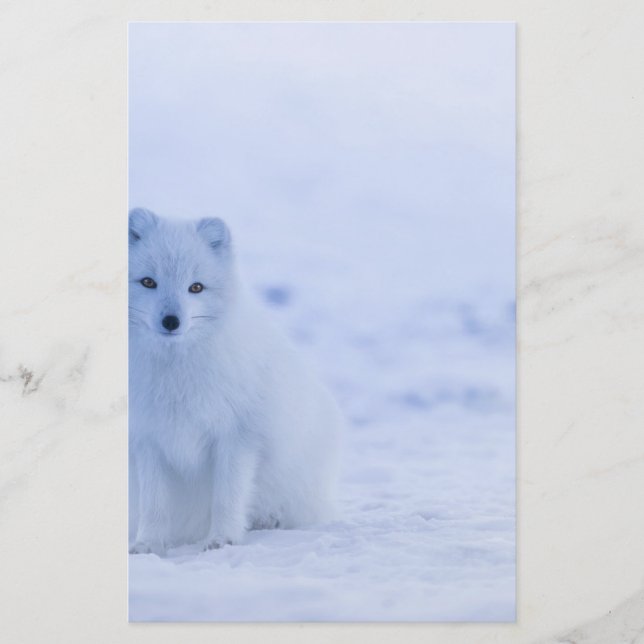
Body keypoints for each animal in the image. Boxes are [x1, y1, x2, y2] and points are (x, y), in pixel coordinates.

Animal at [128, 208, 342, 555]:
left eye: (196, 287)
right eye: (148, 282)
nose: (171, 321)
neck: (176, 371)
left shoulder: (237, 436)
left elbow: (227, 497)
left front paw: (222, 540)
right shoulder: (148, 439)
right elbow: (154, 504)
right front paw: (148, 544)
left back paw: (269, 521)